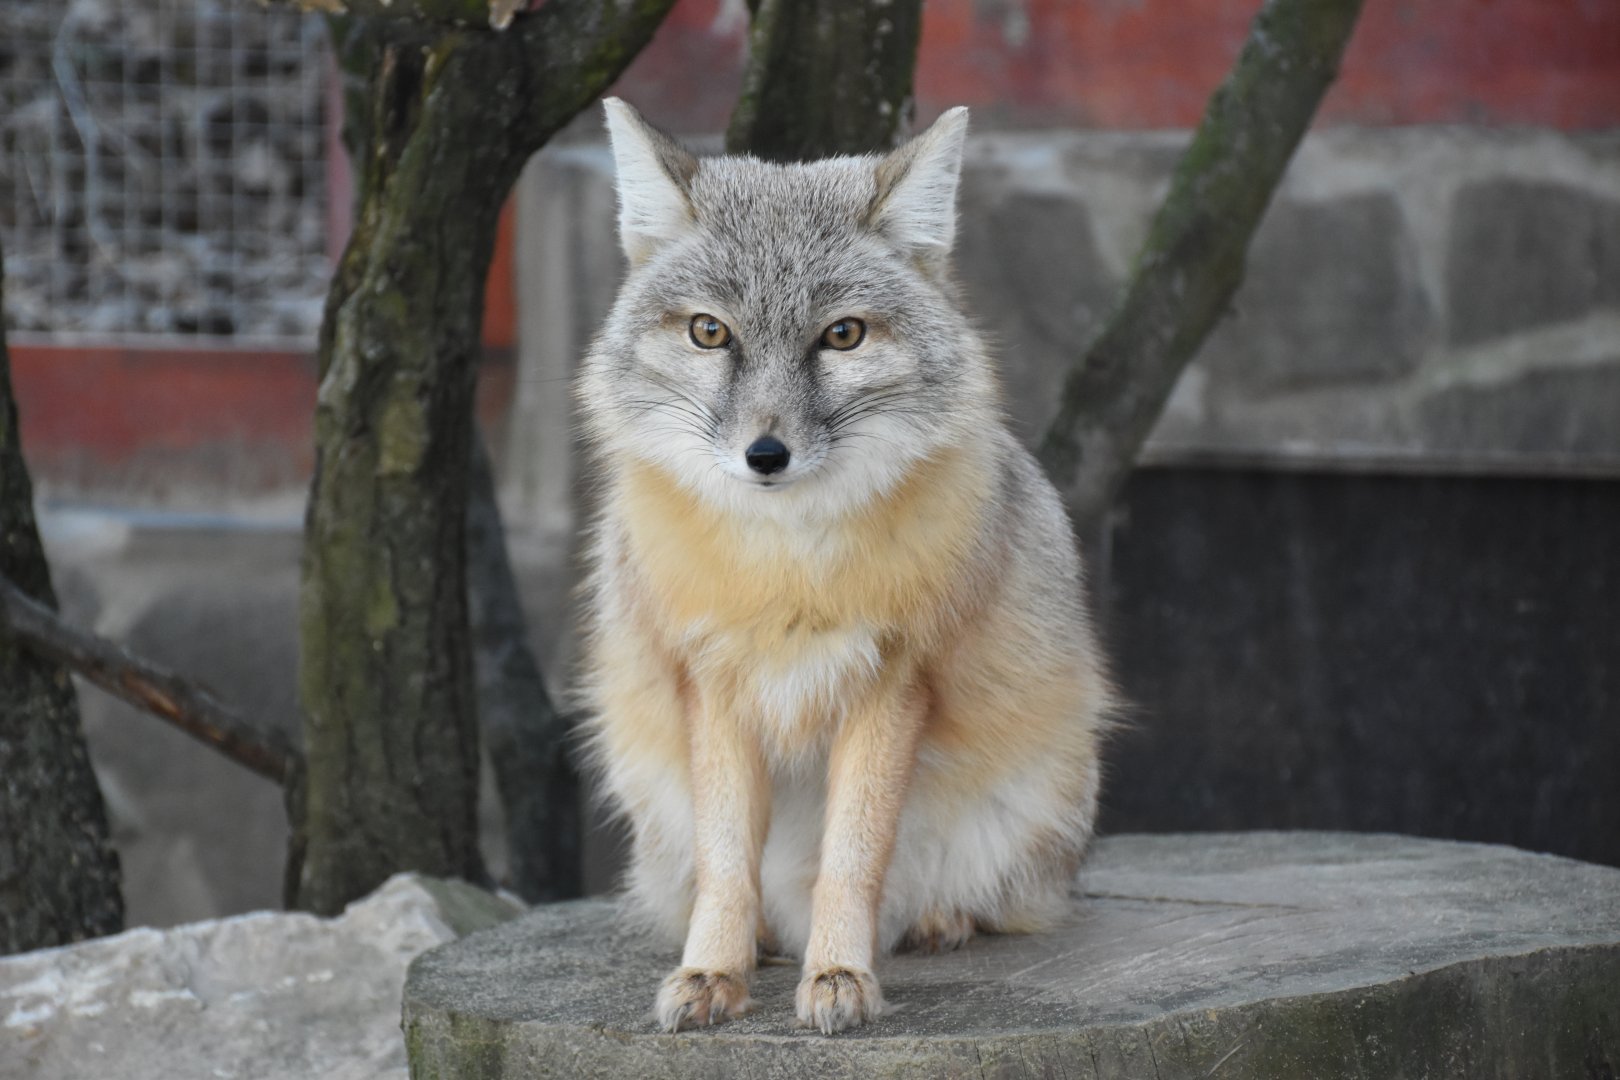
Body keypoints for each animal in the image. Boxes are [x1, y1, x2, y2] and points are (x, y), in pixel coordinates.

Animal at [574, 98, 1116, 1035]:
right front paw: (712, 969)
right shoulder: (712, 681)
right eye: (710, 332)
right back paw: (763, 941)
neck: (788, 573)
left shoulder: (893, 681)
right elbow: (728, 860)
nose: (765, 455)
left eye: (843, 336)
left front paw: (838, 973)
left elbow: (853, 856)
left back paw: (936, 921)